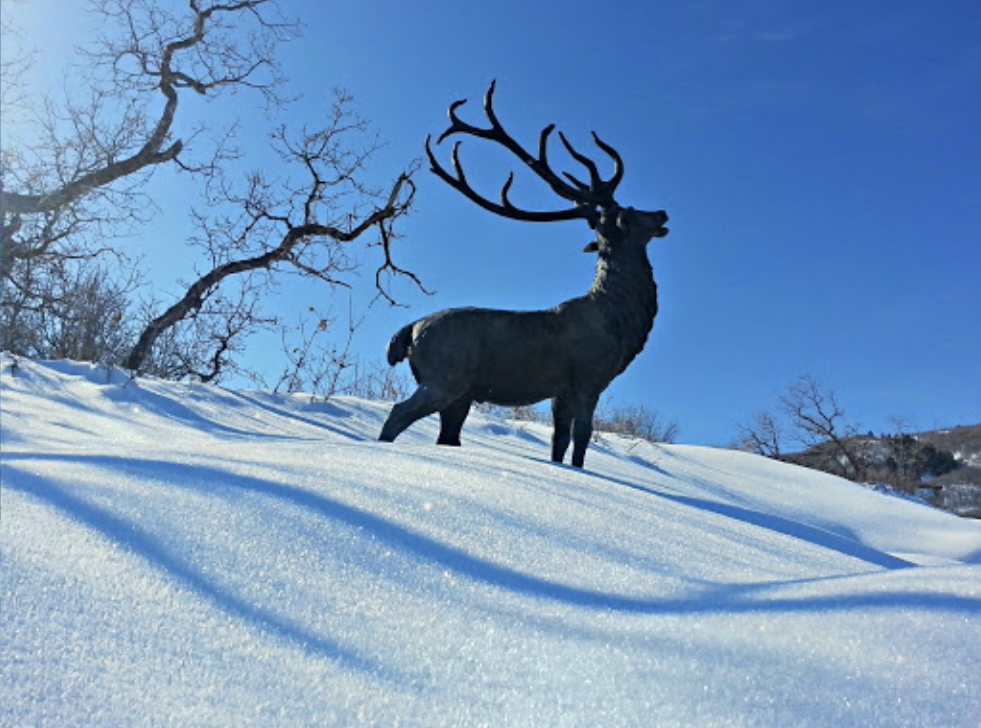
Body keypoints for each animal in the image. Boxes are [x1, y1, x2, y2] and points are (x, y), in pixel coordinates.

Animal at [378, 81, 669, 469]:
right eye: (632, 212)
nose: (663, 213)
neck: (619, 321)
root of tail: (407, 333)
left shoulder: (561, 391)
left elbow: (559, 442)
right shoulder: (589, 378)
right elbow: (582, 437)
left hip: (460, 394)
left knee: (447, 435)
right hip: (445, 376)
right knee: (397, 413)